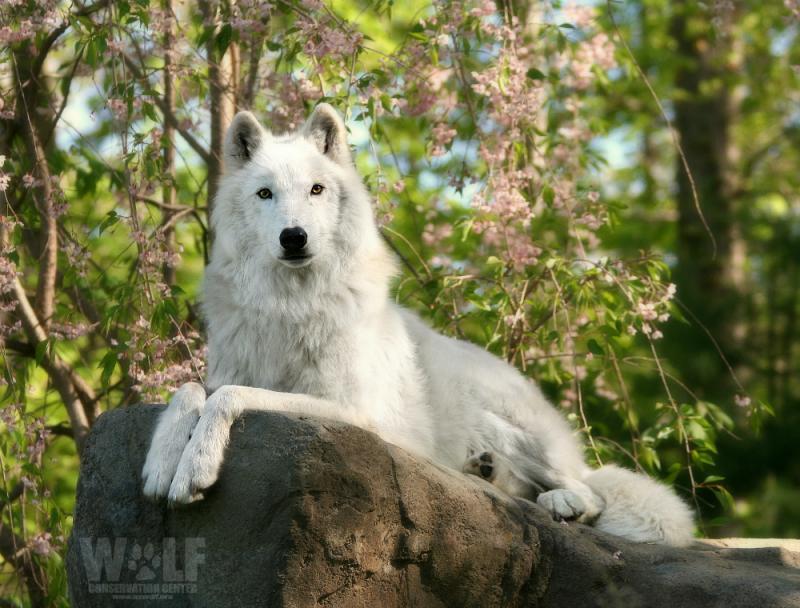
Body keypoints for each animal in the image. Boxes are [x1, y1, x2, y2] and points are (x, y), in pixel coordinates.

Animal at [141, 103, 694, 546]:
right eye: (264, 194)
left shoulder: (351, 409)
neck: (291, 306)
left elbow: (229, 396)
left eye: (316, 189)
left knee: (588, 489)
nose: (293, 237)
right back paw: (483, 471)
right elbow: (193, 389)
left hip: (504, 419)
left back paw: (561, 502)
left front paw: (195, 465)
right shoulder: (231, 369)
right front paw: (164, 459)